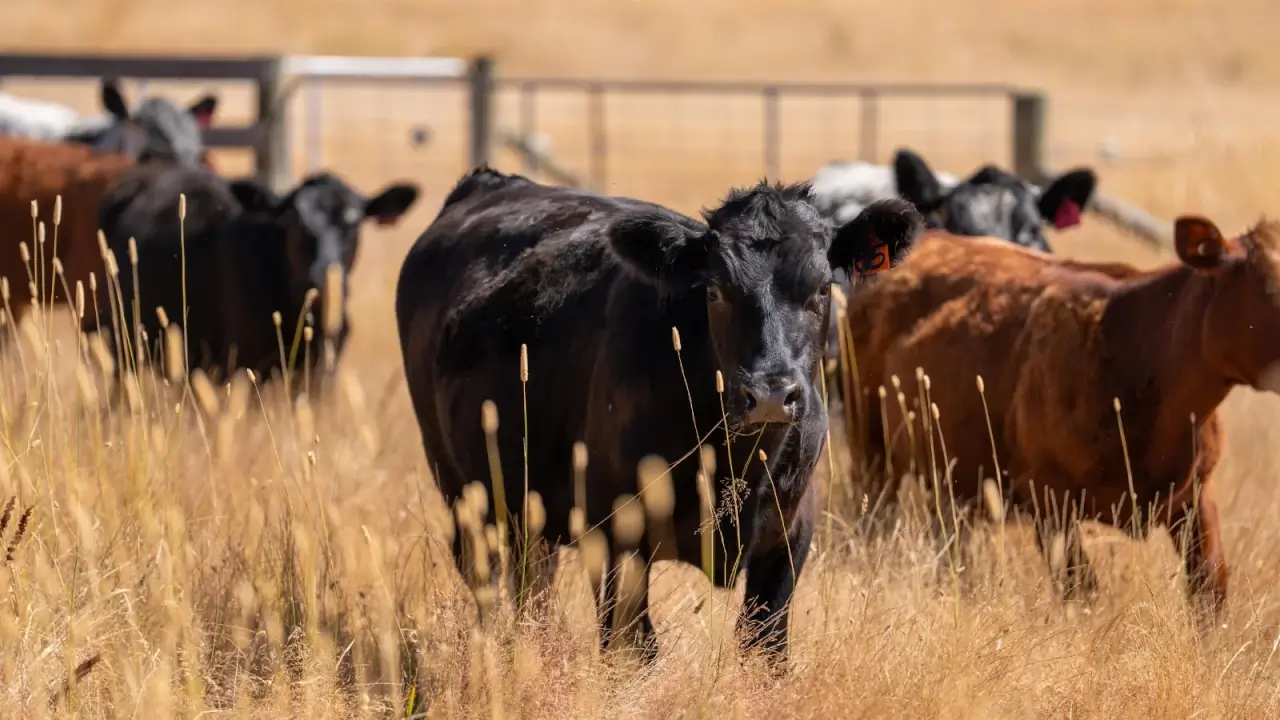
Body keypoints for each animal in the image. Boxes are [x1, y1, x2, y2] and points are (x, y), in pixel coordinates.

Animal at [86, 166, 419, 390]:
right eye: (293, 221)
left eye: (352, 222)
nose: (320, 278)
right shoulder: (242, 365)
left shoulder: (321, 372)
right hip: (123, 340)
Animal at [395, 166, 925, 666]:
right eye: (715, 290)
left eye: (821, 289)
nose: (771, 394)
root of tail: (491, 182)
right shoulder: (614, 537)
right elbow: (633, 646)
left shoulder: (788, 538)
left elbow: (765, 647)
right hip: (463, 490)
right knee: (488, 580)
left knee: (533, 580)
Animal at [843, 215, 1280, 619]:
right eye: (1273, 290)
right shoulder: (1048, 497)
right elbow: (1083, 593)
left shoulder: (1196, 495)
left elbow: (1210, 589)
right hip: (870, 448)